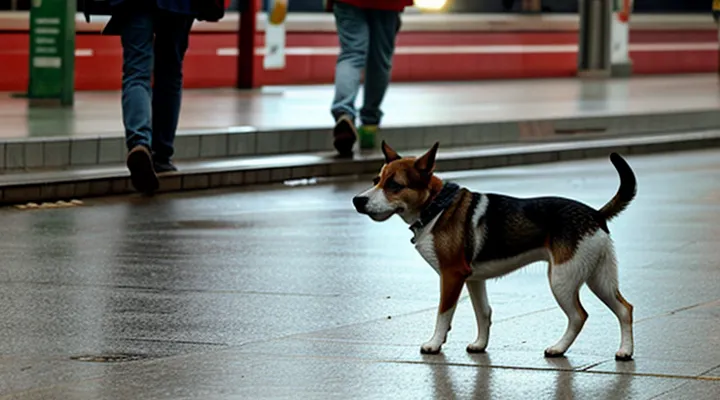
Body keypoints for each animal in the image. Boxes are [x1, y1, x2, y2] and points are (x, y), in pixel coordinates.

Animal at [352, 141, 636, 360]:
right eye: (377, 181)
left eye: (395, 185)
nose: (358, 200)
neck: (436, 207)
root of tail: (595, 214)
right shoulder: (473, 279)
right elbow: (483, 313)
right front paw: (480, 344)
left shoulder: (451, 276)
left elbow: (443, 313)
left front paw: (434, 343)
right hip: (599, 278)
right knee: (625, 309)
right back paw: (625, 351)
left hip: (562, 280)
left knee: (578, 316)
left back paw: (558, 348)